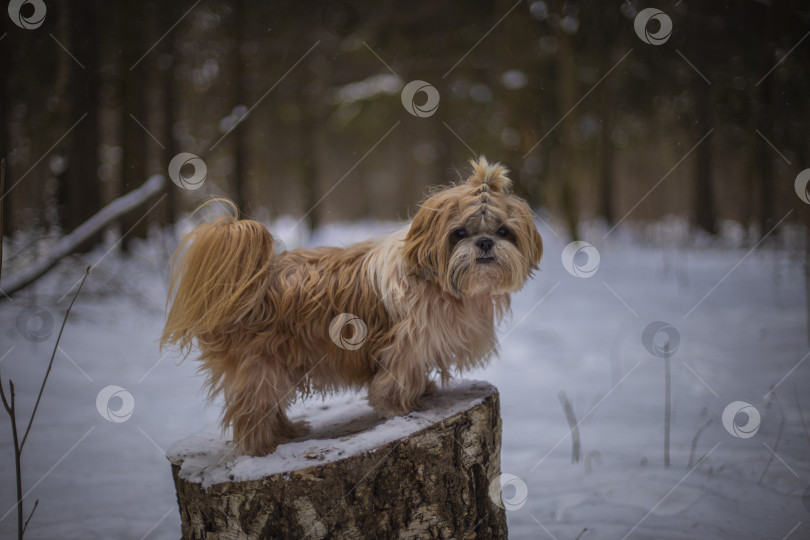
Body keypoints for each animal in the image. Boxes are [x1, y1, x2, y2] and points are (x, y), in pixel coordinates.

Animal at [161, 157, 544, 456]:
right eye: (459, 233)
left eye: (504, 232)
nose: (485, 242)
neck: (442, 284)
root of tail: (246, 282)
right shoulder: (405, 343)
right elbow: (397, 377)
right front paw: (400, 407)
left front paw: (425, 390)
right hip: (260, 365)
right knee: (251, 415)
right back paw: (266, 446)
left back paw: (288, 432)